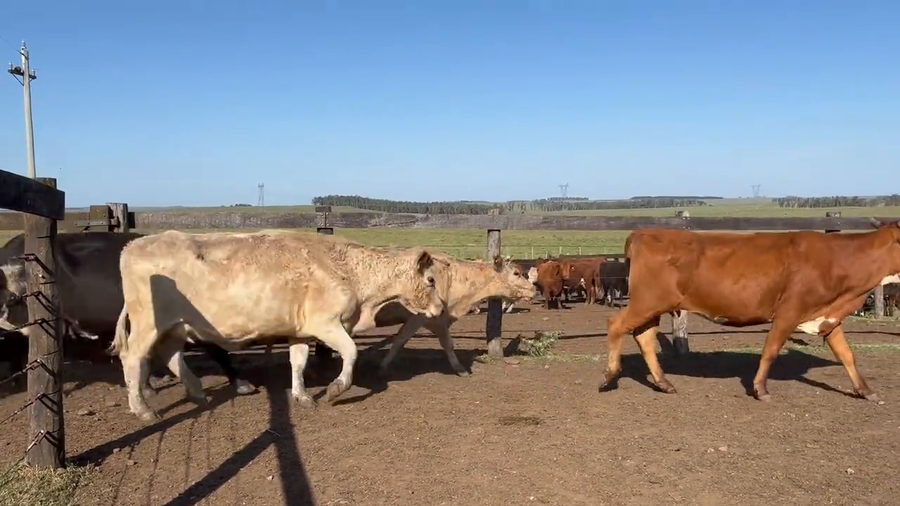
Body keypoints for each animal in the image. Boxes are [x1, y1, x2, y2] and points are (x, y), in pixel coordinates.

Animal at [109, 230, 449, 422]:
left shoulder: (300, 331)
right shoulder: (326, 324)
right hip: (148, 325)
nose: (440, 308)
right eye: (431, 281)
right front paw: (335, 388)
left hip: (176, 327)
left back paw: (196, 392)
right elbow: (351, 352)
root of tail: (130, 247)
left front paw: (302, 396)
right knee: (133, 359)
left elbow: (297, 363)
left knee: (169, 356)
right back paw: (142, 409)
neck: (348, 270)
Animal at [371, 255, 537, 376]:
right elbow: (443, 343)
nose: (533, 290)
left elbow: (400, 340)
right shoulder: (423, 318)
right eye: (516, 273)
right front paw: (460, 369)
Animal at [598, 220, 900, 402]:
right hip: (647, 301)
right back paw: (610, 375)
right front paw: (760, 389)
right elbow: (770, 351)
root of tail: (643, 232)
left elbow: (847, 355)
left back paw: (663, 383)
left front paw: (865, 390)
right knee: (616, 324)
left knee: (644, 337)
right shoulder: (788, 312)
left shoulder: (828, 317)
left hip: (653, 306)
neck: (837, 260)